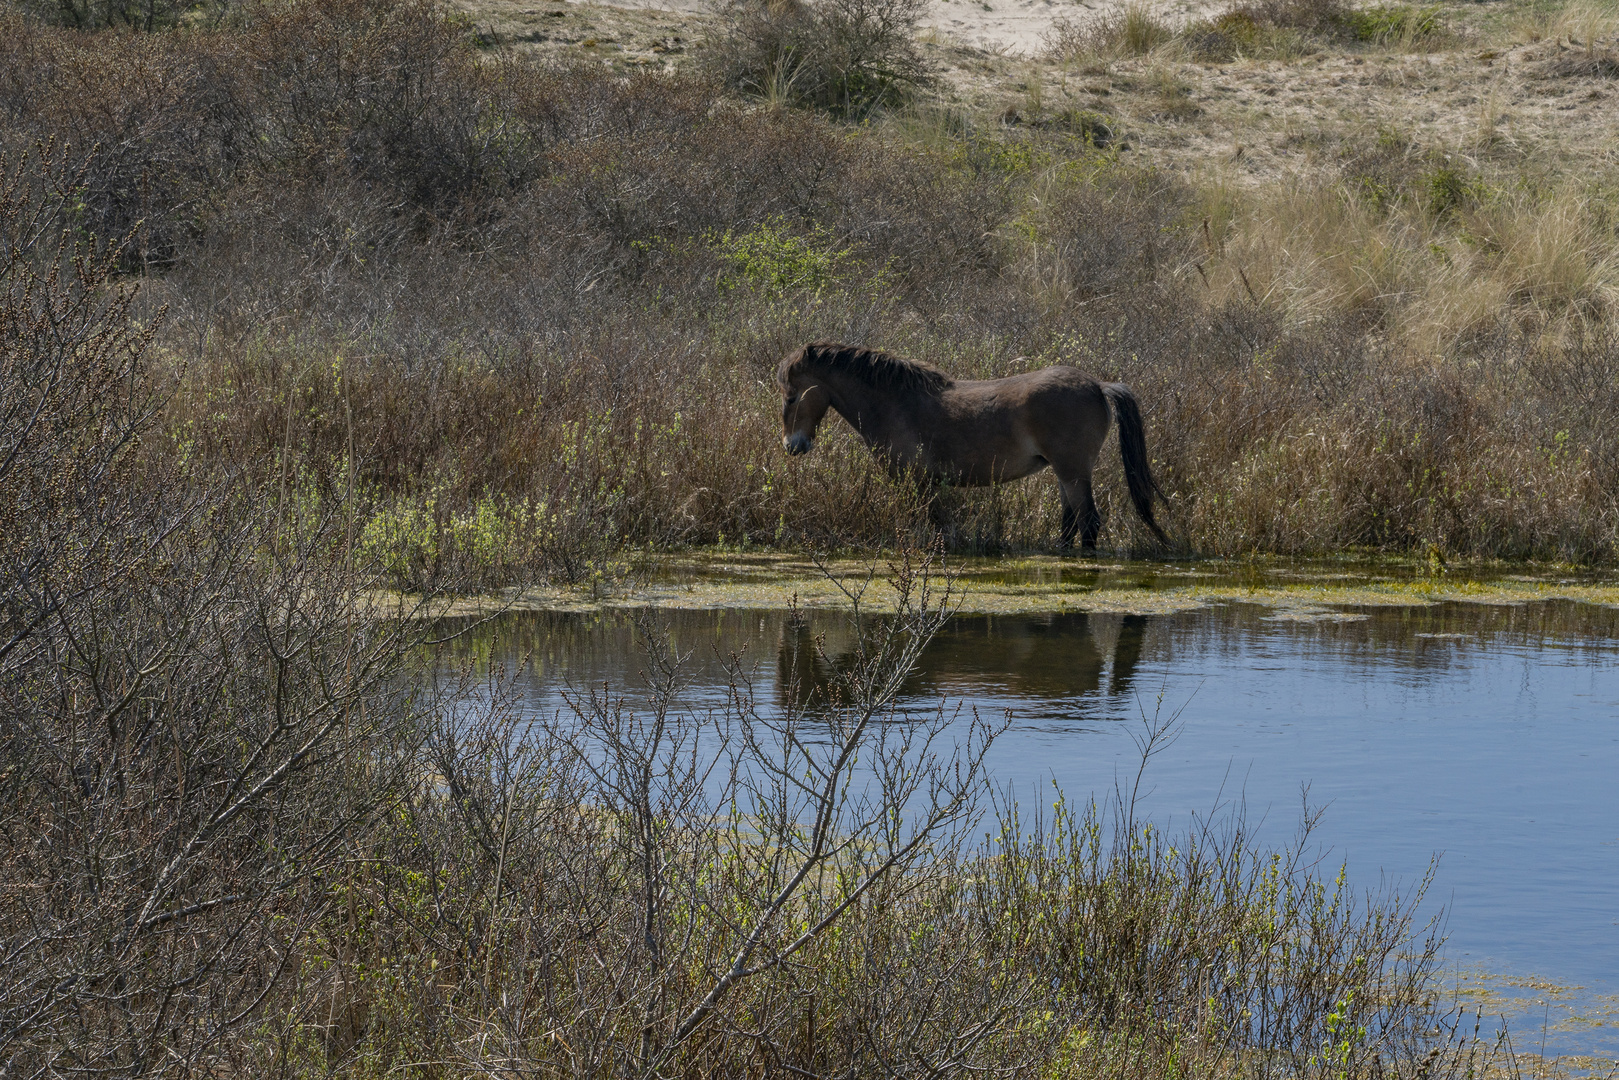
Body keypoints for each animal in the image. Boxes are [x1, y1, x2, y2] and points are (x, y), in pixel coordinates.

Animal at [773, 341, 1165, 553]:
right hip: (1065, 474)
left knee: (1089, 523)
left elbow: (925, 528)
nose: (792, 446)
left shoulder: (913, 482)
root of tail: (1099, 385)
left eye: (791, 396)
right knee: (1070, 525)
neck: (894, 402)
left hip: (1073, 471)